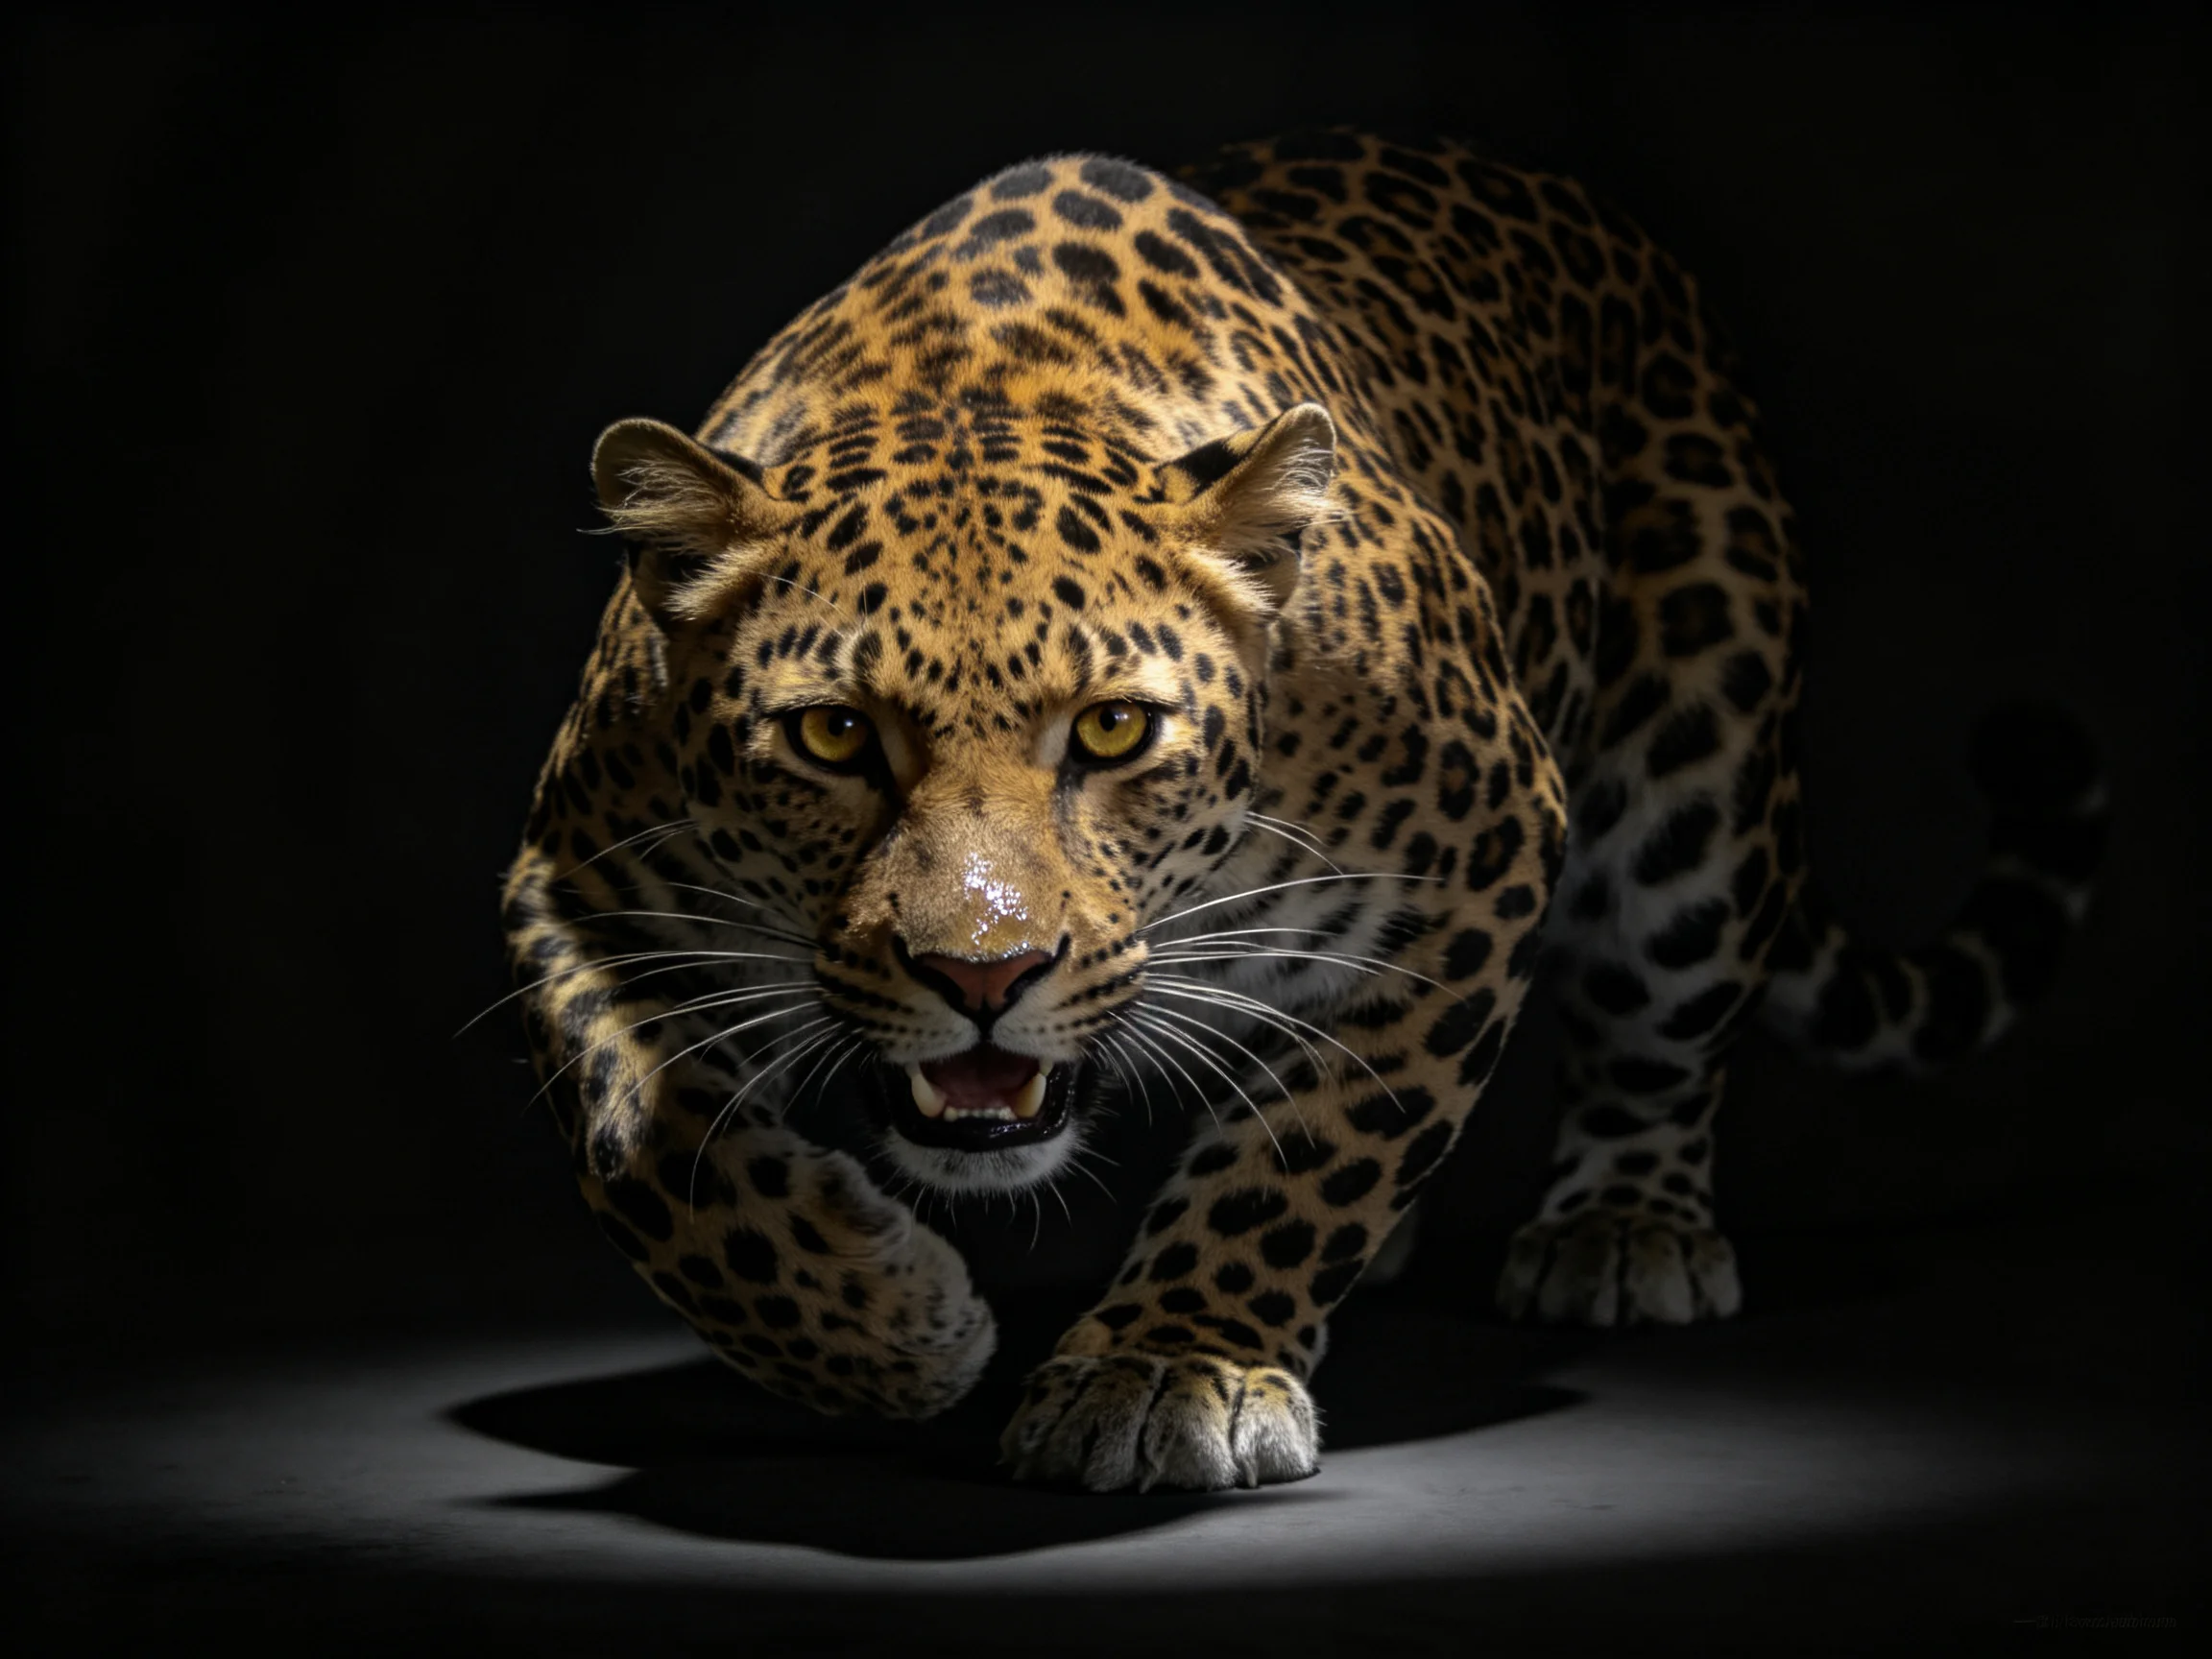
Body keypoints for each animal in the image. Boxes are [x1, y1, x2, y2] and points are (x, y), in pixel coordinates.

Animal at [500, 129, 2104, 1494]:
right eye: (833, 735)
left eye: (1113, 728)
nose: (982, 977)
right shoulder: (571, 881)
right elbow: (635, 1146)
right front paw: (891, 1336)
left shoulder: (1485, 852)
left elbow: (1319, 1144)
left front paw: (1168, 1366)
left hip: (1700, 762)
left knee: (1661, 1018)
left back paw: (1624, 1228)